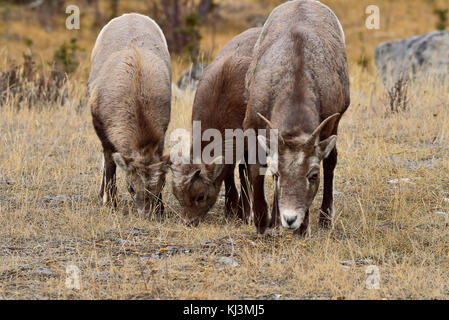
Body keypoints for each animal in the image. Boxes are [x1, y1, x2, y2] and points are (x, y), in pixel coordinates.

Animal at [172, 28, 262, 226]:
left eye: (201, 196)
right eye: (179, 197)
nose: (189, 222)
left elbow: (244, 175)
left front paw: (243, 214)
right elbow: (228, 175)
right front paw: (230, 210)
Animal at [242, 0, 350, 235]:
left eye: (313, 175)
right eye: (276, 175)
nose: (290, 219)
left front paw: (303, 228)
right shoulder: (253, 127)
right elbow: (256, 171)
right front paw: (263, 223)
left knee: (331, 162)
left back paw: (325, 220)